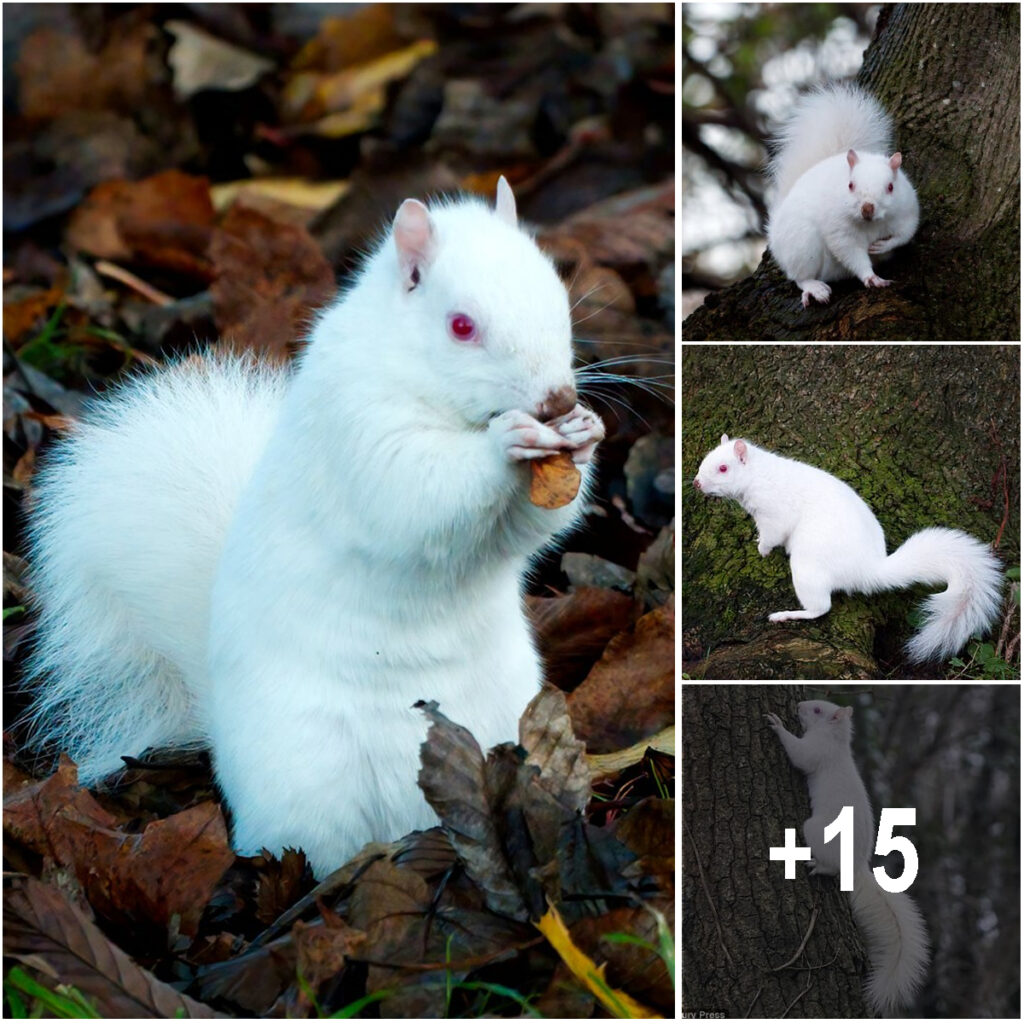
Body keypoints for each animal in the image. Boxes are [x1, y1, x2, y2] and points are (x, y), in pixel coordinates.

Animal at [19, 178, 602, 880]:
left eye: (556, 295)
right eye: (461, 326)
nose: (556, 400)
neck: (420, 380)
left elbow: (529, 526)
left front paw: (585, 432)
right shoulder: (357, 426)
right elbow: (415, 492)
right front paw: (505, 442)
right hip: (308, 770)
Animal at [692, 434, 1003, 663]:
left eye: (723, 468)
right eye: (705, 459)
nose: (696, 483)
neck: (758, 475)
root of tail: (868, 571)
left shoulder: (773, 513)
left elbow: (773, 534)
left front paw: (762, 548)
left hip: (807, 566)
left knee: (821, 607)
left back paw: (786, 614)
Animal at [765, 82, 925, 307]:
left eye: (890, 187)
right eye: (850, 185)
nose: (867, 208)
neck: (871, 225)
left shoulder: (907, 212)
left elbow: (904, 235)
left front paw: (884, 246)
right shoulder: (841, 232)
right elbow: (852, 254)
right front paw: (871, 277)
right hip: (801, 243)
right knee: (800, 277)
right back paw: (814, 288)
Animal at [765, 696, 933, 1015]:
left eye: (818, 710)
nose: (799, 704)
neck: (836, 739)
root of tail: (856, 867)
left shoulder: (818, 751)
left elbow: (800, 756)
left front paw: (778, 725)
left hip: (815, 831)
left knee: (831, 867)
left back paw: (817, 866)